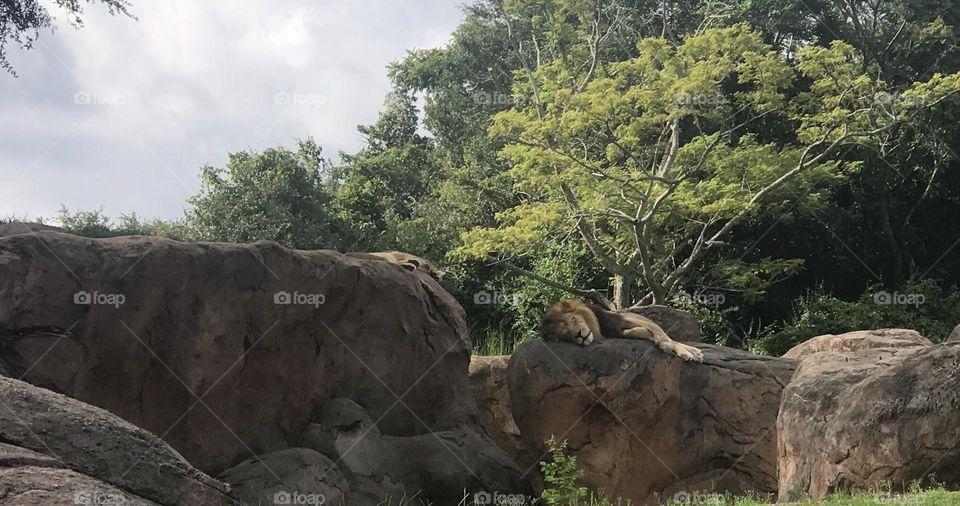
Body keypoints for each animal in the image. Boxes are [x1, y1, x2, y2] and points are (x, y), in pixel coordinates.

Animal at [540, 299, 703, 362]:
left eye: (572, 320)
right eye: (566, 335)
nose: (579, 335)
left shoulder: (622, 318)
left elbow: (658, 329)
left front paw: (665, 344)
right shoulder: (618, 331)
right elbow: (633, 332)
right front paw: (648, 334)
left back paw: (692, 352)